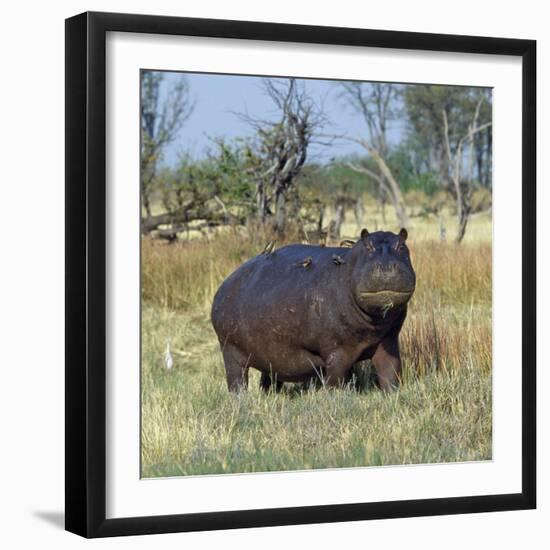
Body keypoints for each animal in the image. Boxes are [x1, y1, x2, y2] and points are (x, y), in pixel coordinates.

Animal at [212, 229, 418, 392]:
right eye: (367, 247)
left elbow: (390, 371)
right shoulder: (337, 350)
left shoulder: (388, 341)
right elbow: (335, 379)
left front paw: (392, 395)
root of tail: (225, 284)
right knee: (237, 380)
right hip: (230, 351)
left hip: (267, 355)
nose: (386, 267)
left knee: (268, 378)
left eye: (402, 246)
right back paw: (240, 399)